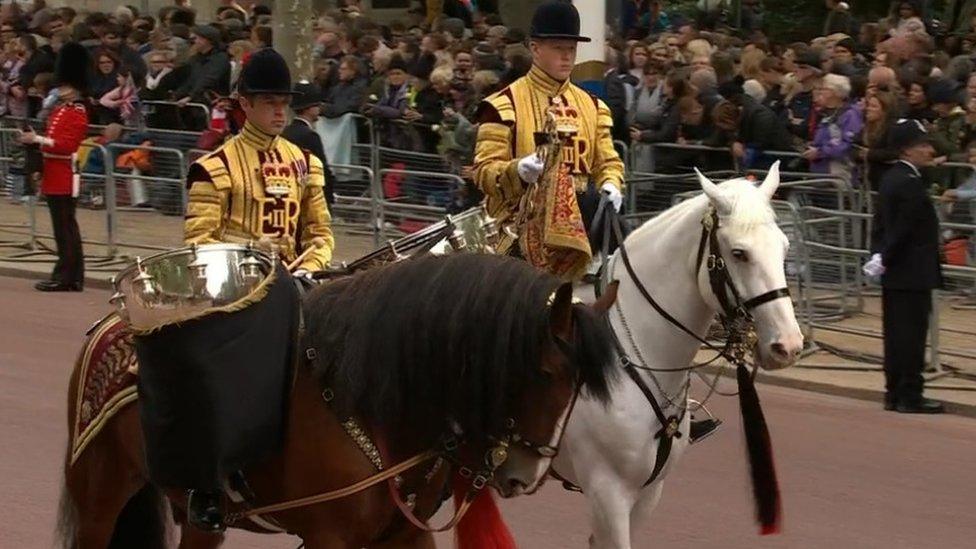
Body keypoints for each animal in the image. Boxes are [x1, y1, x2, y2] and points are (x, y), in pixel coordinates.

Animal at [55, 255, 616, 544]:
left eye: (579, 386)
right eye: (545, 373)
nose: (525, 475)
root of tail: (108, 324)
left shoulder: (403, 535)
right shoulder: (330, 539)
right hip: (100, 493)